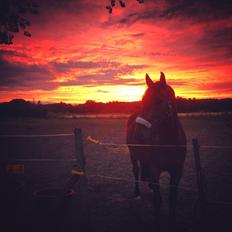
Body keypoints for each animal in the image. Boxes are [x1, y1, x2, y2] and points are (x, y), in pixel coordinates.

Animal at [126, 72, 186, 223]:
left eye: (159, 101)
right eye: (142, 99)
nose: (138, 134)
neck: (169, 142)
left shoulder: (177, 172)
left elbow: (173, 199)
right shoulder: (155, 169)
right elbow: (157, 201)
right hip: (133, 155)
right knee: (136, 171)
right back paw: (137, 193)